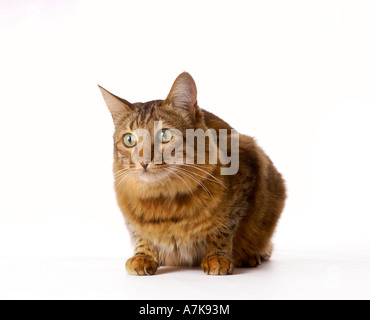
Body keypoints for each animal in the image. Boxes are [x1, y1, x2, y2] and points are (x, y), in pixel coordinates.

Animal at [98, 72, 286, 276]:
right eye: (129, 139)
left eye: (164, 135)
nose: (143, 161)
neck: (164, 201)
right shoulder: (131, 216)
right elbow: (141, 234)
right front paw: (144, 255)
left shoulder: (246, 167)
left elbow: (223, 229)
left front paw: (217, 256)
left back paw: (251, 256)